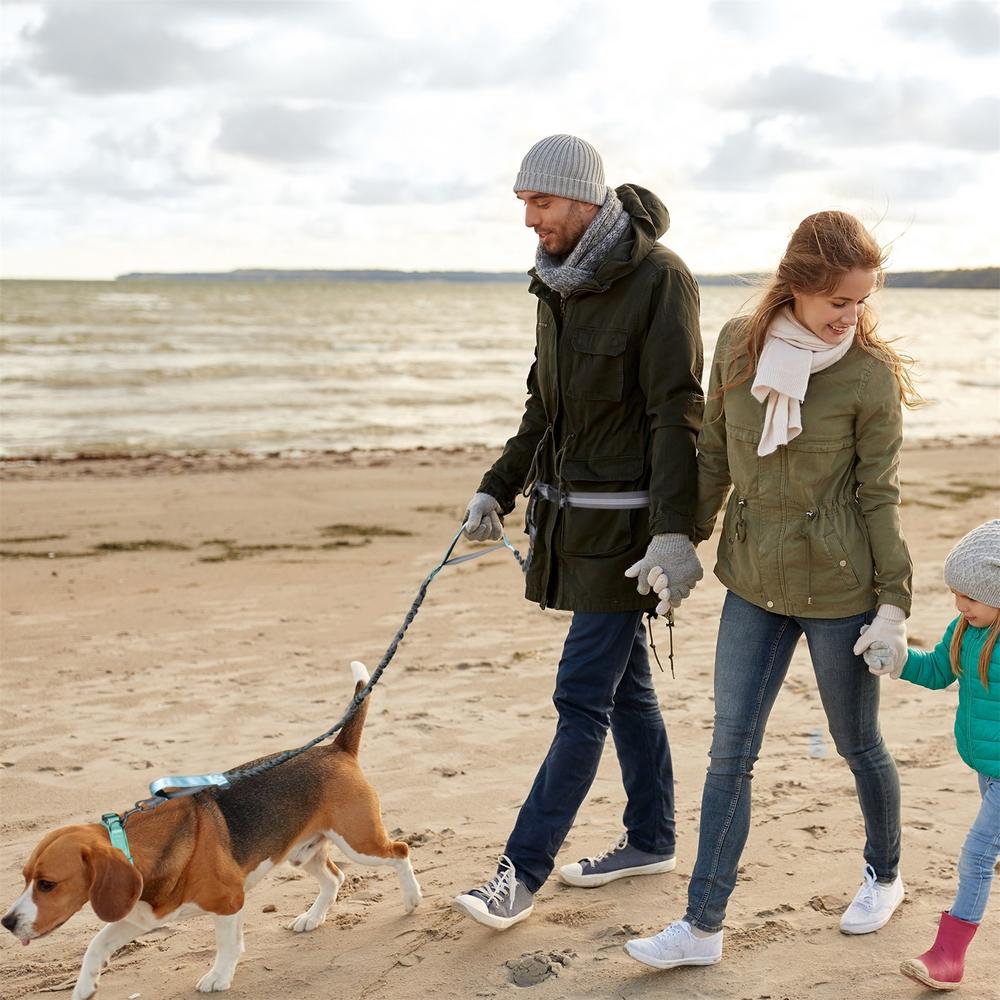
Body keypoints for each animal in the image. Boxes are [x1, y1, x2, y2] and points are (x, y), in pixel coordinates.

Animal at [1, 660, 420, 996]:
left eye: (47, 884)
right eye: (24, 878)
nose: (6, 923)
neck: (134, 849)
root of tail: (336, 748)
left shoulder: (229, 900)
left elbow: (227, 944)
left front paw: (218, 977)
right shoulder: (140, 917)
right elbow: (96, 946)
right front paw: (85, 987)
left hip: (360, 843)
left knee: (400, 852)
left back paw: (412, 899)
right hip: (303, 853)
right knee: (335, 877)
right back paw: (312, 919)